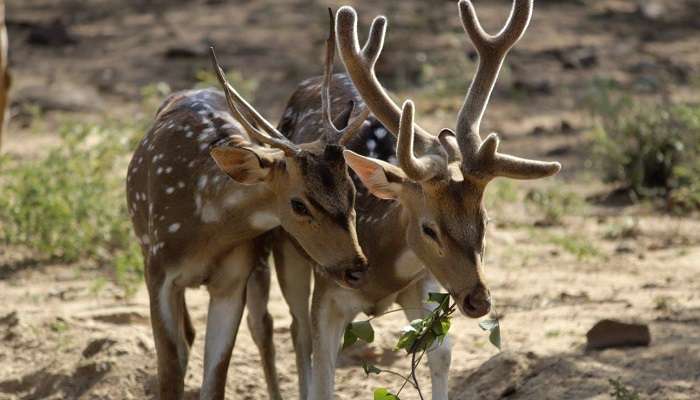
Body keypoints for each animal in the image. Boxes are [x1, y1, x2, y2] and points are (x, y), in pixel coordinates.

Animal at [124, 40, 372, 396]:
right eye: (298, 205)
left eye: (352, 190)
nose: (356, 267)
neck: (204, 228)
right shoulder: (157, 268)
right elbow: (170, 368)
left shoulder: (234, 277)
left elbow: (216, 378)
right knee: (189, 340)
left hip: (259, 265)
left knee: (261, 326)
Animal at [249, 1, 560, 398]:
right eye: (429, 229)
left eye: (485, 220)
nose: (479, 300)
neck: (379, 269)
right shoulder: (329, 292)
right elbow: (323, 372)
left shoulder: (423, 285)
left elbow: (441, 354)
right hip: (288, 249)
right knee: (296, 332)